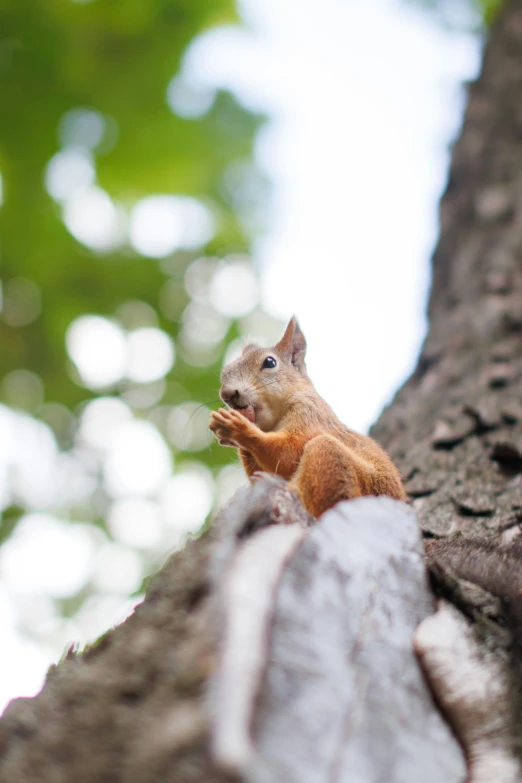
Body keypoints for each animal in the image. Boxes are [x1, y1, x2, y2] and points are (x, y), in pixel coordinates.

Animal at [208, 316, 406, 516]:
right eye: (225, 371)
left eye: (270, 362)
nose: (227, 394)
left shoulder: (311, 413)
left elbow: (290, 453)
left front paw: (237, 427)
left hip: (338, 463)